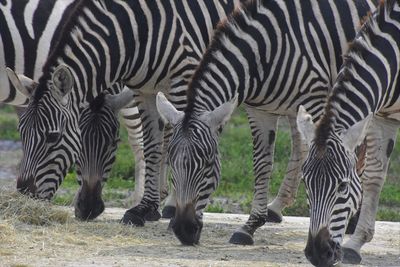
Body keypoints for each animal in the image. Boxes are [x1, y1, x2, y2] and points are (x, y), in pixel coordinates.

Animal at [155, 0, 376, 247]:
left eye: (207, 164)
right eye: (171, 161)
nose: (184, 230)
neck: (266, 53)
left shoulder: (318, 102)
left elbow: (330, 163)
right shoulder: (260, 112)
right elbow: (262, 165)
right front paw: (250, 226)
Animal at [296, 0, 400, 266]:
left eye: (342, 187)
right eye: (305, 183)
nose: (317, 254)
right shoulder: (382, 117)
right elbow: (373, 176)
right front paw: (356, 243)